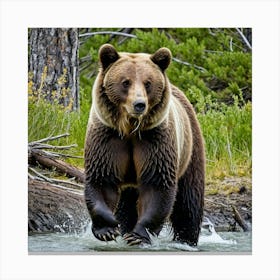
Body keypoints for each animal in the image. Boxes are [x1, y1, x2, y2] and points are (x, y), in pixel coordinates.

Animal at [84, 42, 205, 246]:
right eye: (125, 82)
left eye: (148, 83)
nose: (139, 104)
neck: (130, 129)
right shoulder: (108, 137)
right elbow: (102, 179)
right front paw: (107, 229)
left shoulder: (155, 139)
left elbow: (157, 184)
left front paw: (138, 235)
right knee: (127, 203)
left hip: (190, 149)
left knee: (188, 202)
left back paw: (186, 239)